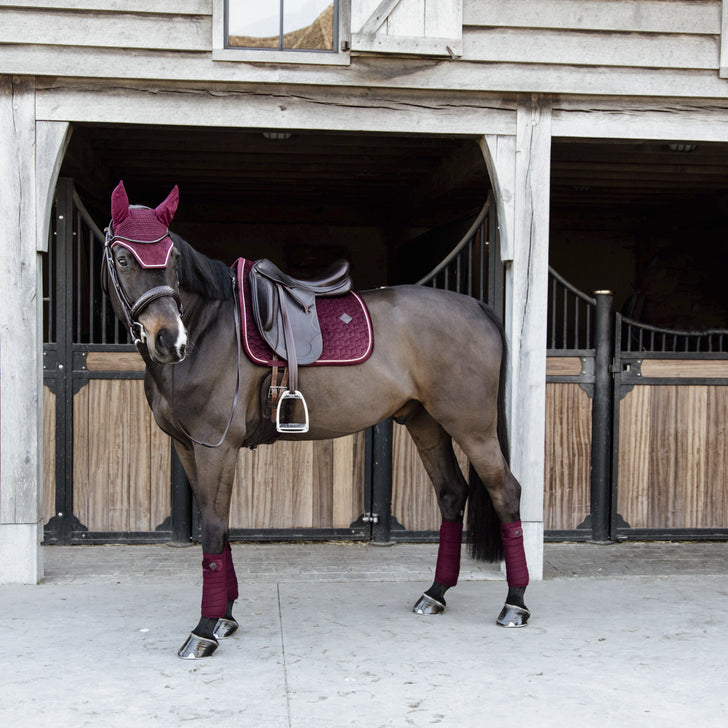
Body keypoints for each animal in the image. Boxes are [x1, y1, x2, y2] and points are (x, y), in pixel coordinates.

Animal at [102, 182, 532, 660]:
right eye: (123, 258)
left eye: (173, 257)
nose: (170, 340)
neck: (211, 329)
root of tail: (476, 306)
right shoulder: (187, 447)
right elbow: (221, 528)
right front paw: (225, 617)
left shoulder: (216, 448)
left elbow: (214, 529)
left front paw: (204, 629)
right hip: (426, 424)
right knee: (452, 494)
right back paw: (435, 593)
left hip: (473, 428)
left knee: (505, 492)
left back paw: (515, 604)